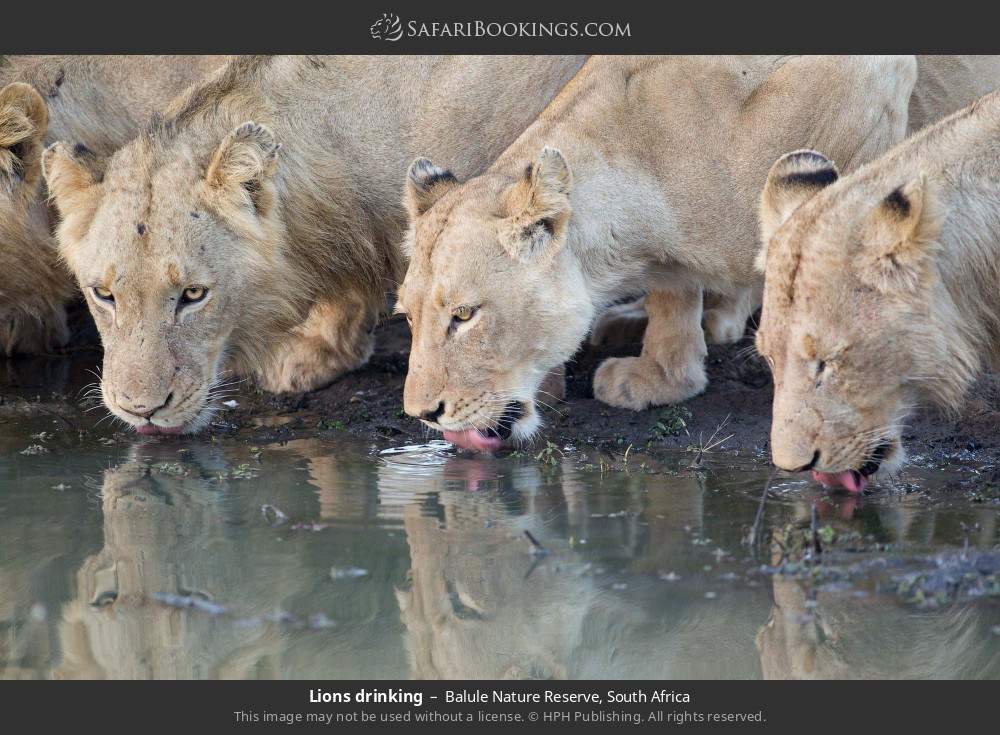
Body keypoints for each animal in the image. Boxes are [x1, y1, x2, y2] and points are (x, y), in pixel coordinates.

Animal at [397, 55, 920, 451]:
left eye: (465, 315)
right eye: (408, 317)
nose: (422, 414)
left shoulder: (876, 77)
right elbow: (674, 291)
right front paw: (667, 376)